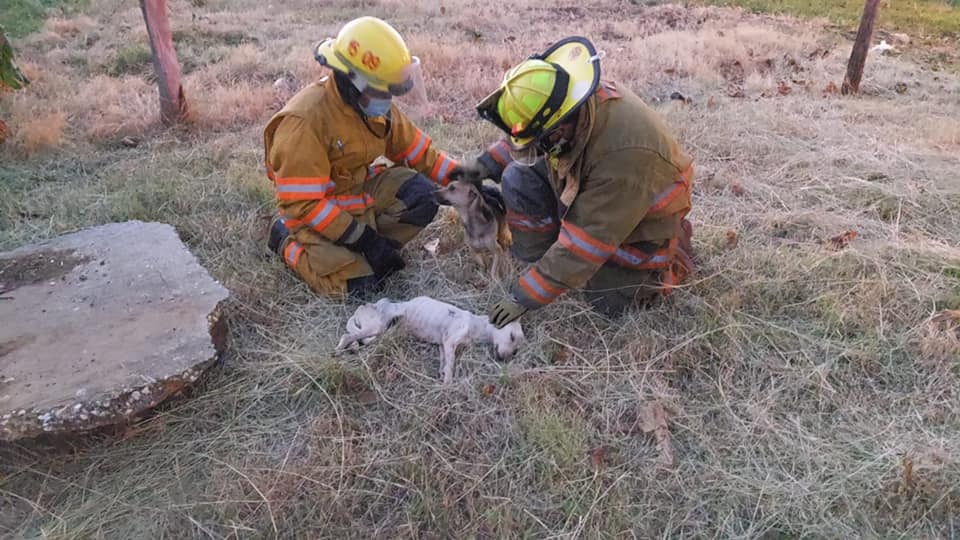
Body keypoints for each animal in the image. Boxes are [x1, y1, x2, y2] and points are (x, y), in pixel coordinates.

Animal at [332, 296, 524, 384]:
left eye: (516, 350)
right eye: (512, 337)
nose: (505, 358)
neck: (476, 325)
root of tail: (363, 307)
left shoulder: (442, 345)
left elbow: (443, 363)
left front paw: (441, 375)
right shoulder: (449, 341)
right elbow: (450, 365)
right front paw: (447, 384)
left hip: (380, 331)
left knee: (358, 338)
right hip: (376, 327)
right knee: (347, 336)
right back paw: (339, 349)